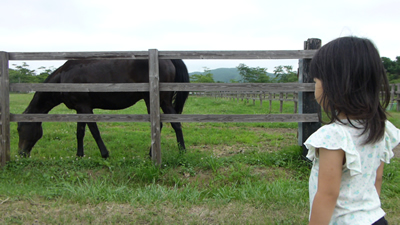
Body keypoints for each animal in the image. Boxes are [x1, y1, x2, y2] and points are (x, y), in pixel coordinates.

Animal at [19, 59, 192, 158]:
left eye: (20, 127)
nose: (21, 154)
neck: (64, 78)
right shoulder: (80, 109)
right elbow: (80, 132)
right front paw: (79, 155)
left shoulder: (85, 107)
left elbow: (94, 131)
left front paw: (105, 154)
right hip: (165, 101)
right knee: (176, 123)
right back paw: (182, 151)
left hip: (154, 100)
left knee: (160, 125)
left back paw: (152, 154)